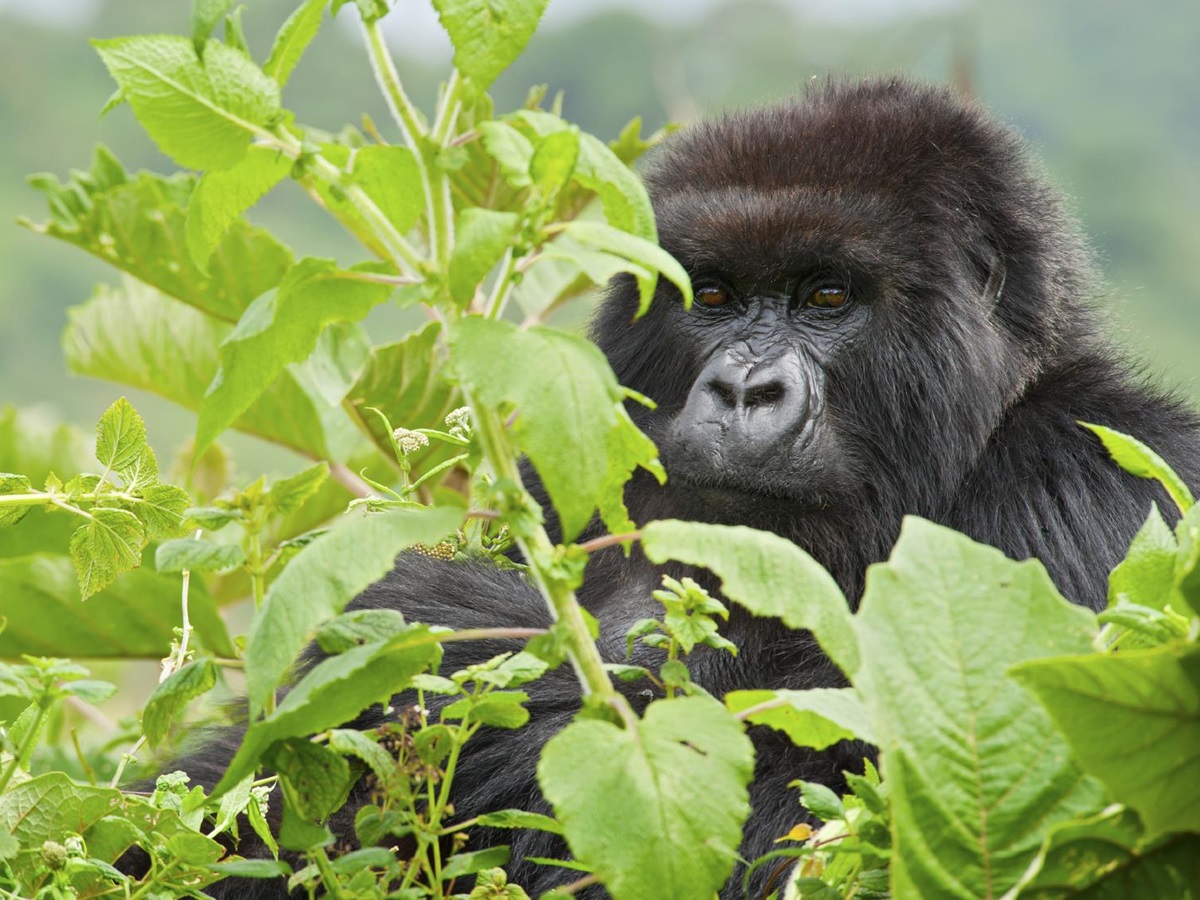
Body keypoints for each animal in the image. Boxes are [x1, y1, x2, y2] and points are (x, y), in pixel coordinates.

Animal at [188, 77, 1200, 897]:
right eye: (711, 296)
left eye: (827, 297)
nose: (744, 390)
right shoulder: (561, 480)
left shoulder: (1084, 491)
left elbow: (807, 824)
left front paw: (427, 623)